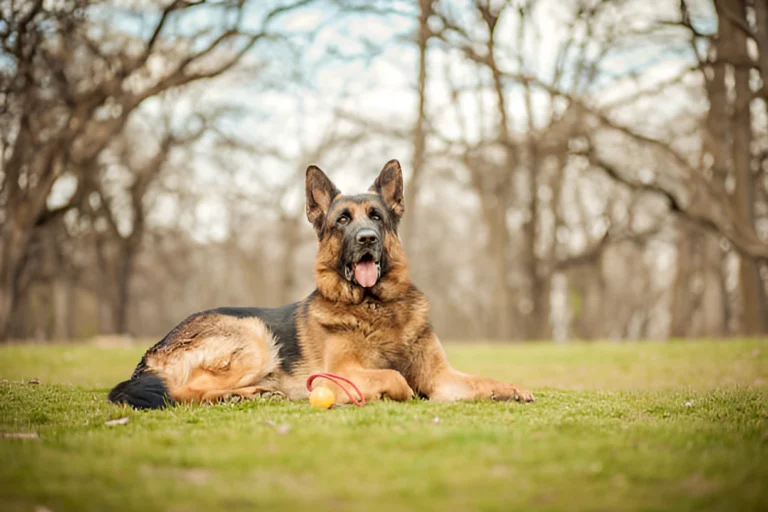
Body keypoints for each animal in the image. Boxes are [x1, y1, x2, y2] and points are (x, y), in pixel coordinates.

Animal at [109, 160, 536, 408]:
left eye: (376, 217)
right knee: (184, 391)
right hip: (254, 336)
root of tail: (150, 354)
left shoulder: (441, 377)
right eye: (342, 221)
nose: (367, 238)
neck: (376, 306)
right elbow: (396, 378)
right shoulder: (346, 373)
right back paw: (244, 394)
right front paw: (393, 393)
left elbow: (481, 381)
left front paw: (512, 388)